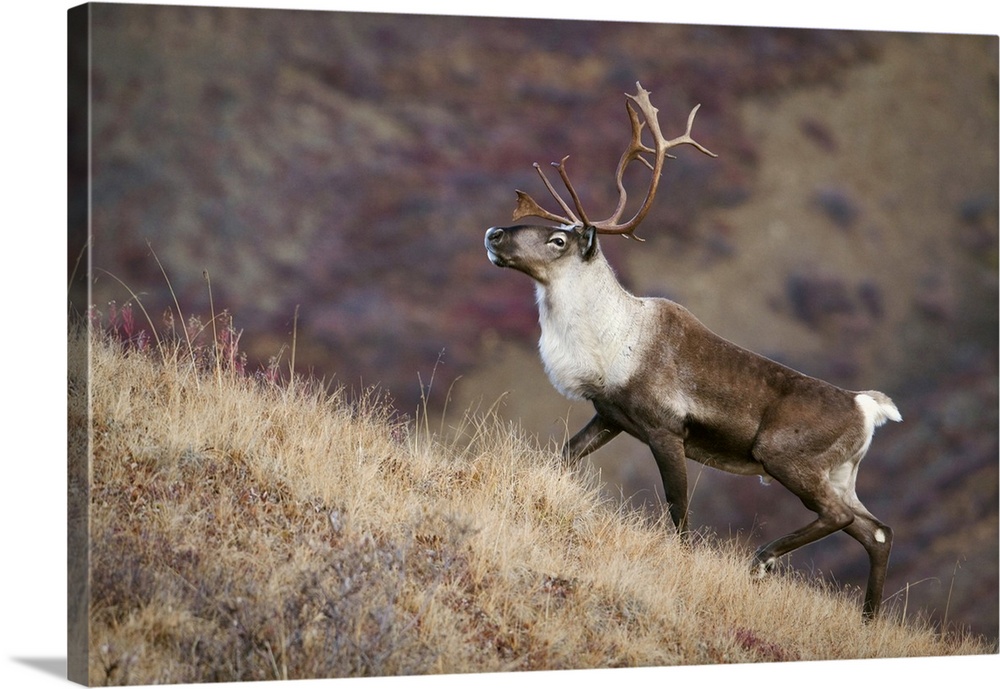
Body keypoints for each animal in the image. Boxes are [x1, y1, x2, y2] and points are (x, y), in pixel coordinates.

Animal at [484, 82, 901, 621]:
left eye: (558, 239)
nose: (494, 234)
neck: (612, 341)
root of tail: (866, 407)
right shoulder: (611, 417)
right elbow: (563, 457)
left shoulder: (666, 432)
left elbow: (678, 510)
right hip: (841, 473)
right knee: (877, 531)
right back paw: (868, 618)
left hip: (785, 458)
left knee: (842, 518)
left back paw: (763, 560)